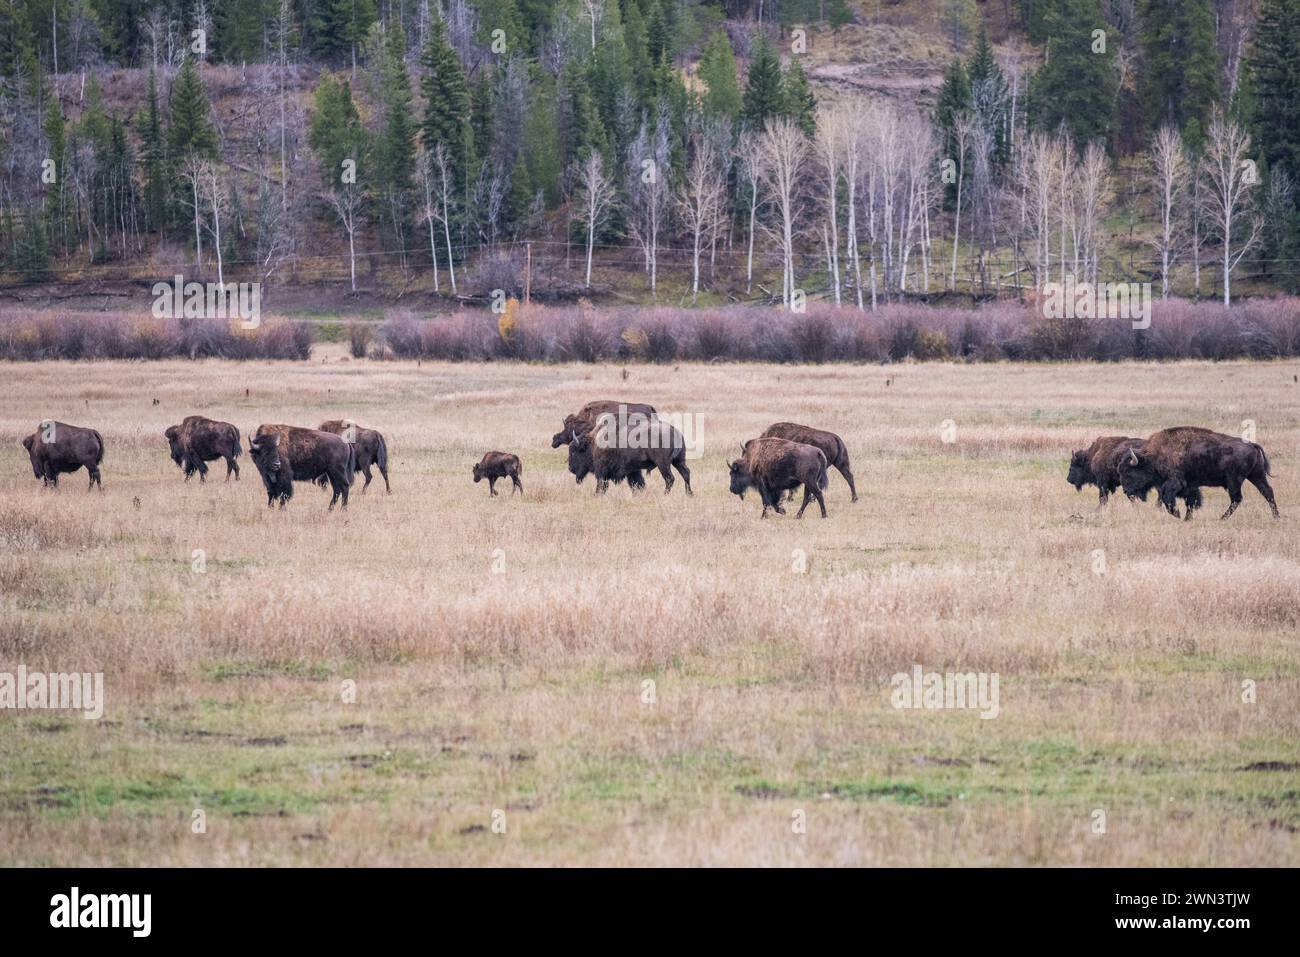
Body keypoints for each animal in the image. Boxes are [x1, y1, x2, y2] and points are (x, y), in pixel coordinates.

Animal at [1118, 426, 1279, 520]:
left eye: (1129, 472)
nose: (1126, 491)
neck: (1154, 455)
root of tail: (1252, 445)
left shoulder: (1175, 483)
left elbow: (1168, 499)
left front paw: (1178, 515)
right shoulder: (1191, 485)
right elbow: (1191, 501)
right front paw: (1187, 518)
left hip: (1235, 481)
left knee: (1237, 498)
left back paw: (1222, 518)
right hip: (1256, 476)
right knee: (1267, 492)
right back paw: (1276, 517)